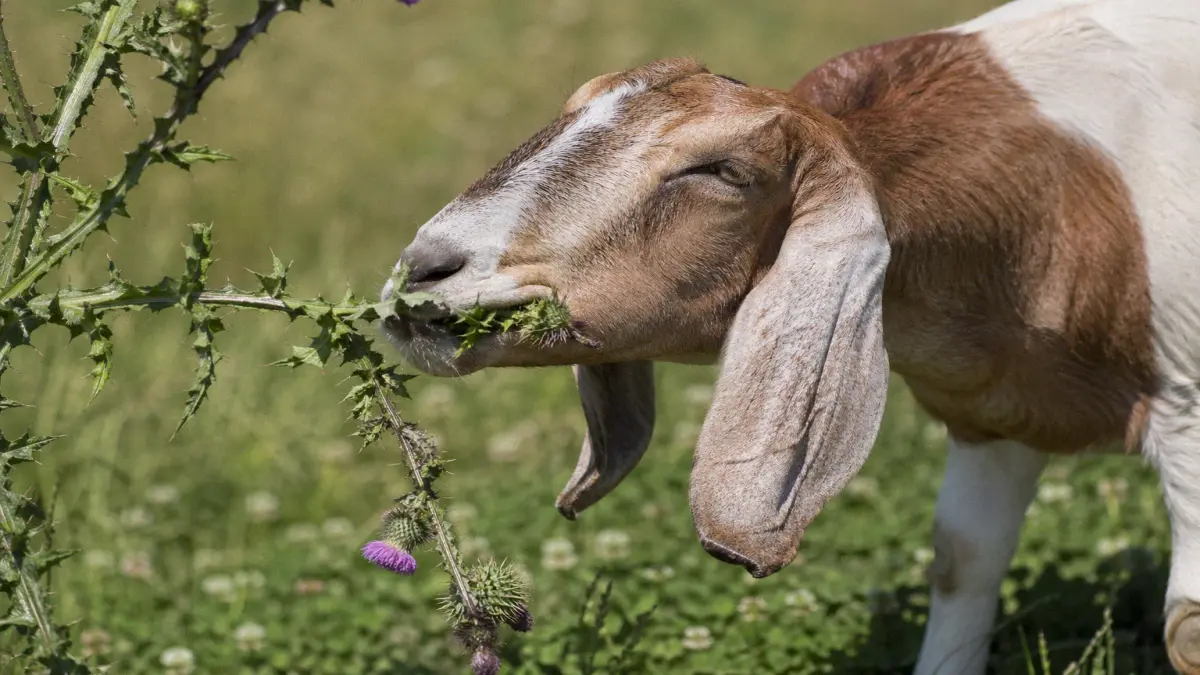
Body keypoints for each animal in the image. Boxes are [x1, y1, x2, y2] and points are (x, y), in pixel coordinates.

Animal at [379, 0, 1200, 672]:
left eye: (721, 169)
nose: (425, 268)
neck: (1063, 199)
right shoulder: (992, 414)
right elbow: (963, 558)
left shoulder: (1188, 410)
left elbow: (1184, 628)